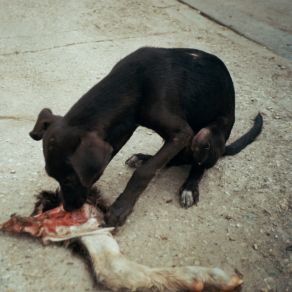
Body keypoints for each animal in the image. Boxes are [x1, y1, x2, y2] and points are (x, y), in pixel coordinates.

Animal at [29, 47, 262, 226]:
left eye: (69, 179)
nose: (68, 208)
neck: (133, 81)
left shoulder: (181, 133)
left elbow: (144, 173)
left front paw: (120, 209)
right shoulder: (123, 126)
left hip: (203, 136)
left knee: (195, 162)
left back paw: (189, 187)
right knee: (176, 158)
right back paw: (144, 157)